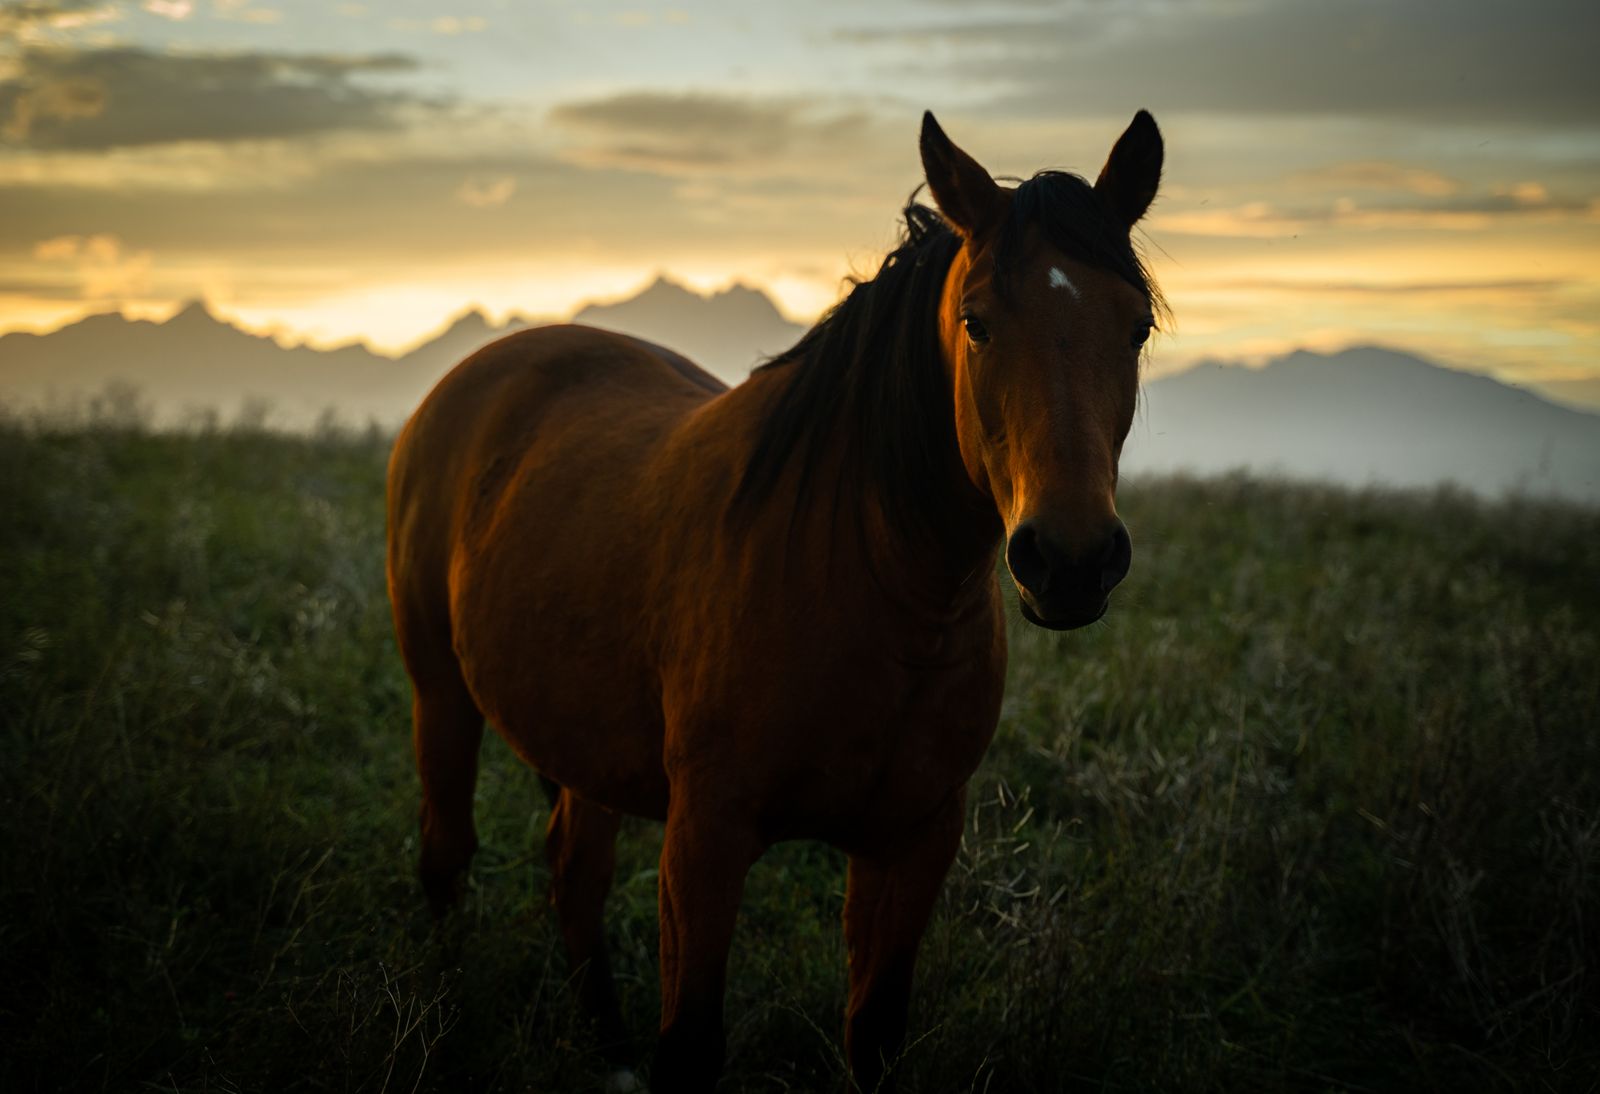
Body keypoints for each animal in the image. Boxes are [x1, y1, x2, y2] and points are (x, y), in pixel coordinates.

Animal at [386, 109, 1163, 1092]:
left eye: (1136, 326)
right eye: (976, 323)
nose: (1070, 559)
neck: (883, 596)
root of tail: (473, 377)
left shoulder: (912, 841)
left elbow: (873, 1033)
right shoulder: (706, 840)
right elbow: (690, 1045)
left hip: (581, 740)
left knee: (574, 872)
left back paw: (607, 1049)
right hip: (440, 694)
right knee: (446, 856)